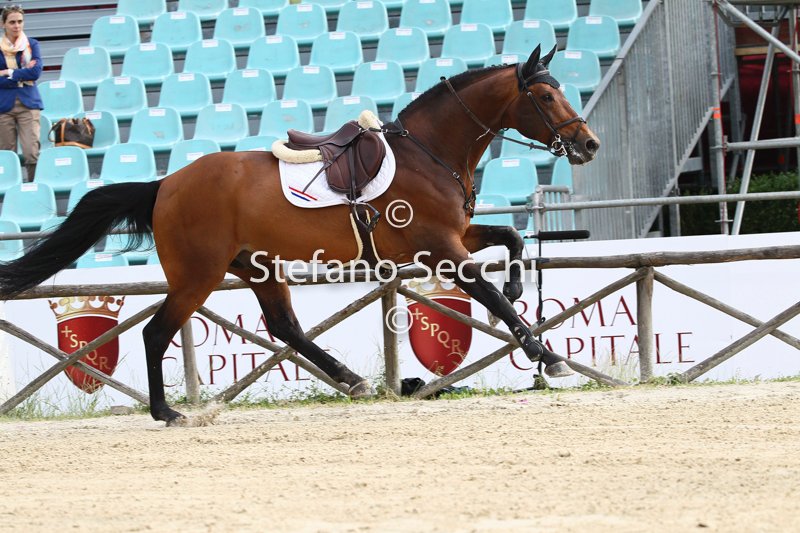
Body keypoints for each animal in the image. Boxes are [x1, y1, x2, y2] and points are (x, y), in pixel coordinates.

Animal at [0, 45, 599, 425]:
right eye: (546, 98)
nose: (588, 145)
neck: (429, 152)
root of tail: (165, 184)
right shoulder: (440, 249)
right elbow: (489, 292)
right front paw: (546, 355)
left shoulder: (455, 237)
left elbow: (511, 241)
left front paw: (523, 291)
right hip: (198, 274)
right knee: (156, 334)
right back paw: (167, 412)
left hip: (256, 265)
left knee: (284, 326)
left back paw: (352, 379)